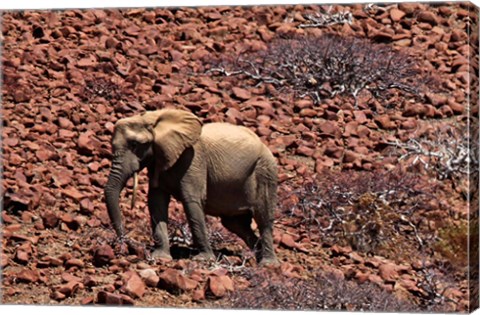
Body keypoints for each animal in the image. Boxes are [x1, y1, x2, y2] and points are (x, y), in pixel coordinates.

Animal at [103, 110, 280, 266]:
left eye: (135, 144)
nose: (125, 246)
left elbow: (191, 201)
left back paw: (268, 264)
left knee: (263, 218)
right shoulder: (158, 161)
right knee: (235, 224)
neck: (154, 119)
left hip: (265, 171)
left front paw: (204, 259)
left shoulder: (193, 158)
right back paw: (256, 257)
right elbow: (156, 201)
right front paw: (161, 257)